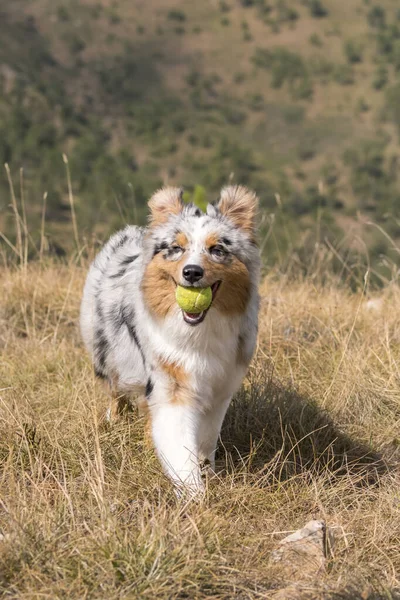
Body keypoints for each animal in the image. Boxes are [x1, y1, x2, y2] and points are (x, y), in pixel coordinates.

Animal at [80, 185, 260, 494]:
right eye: (176, 248)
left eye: (217, 249)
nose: (192, 272)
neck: (199, 330)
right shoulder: (171, 381)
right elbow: (178, 443)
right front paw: (194, 493)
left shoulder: (222, 384)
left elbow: (206, 439)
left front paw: (207, 473)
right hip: (108, 354)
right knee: (116, 391)